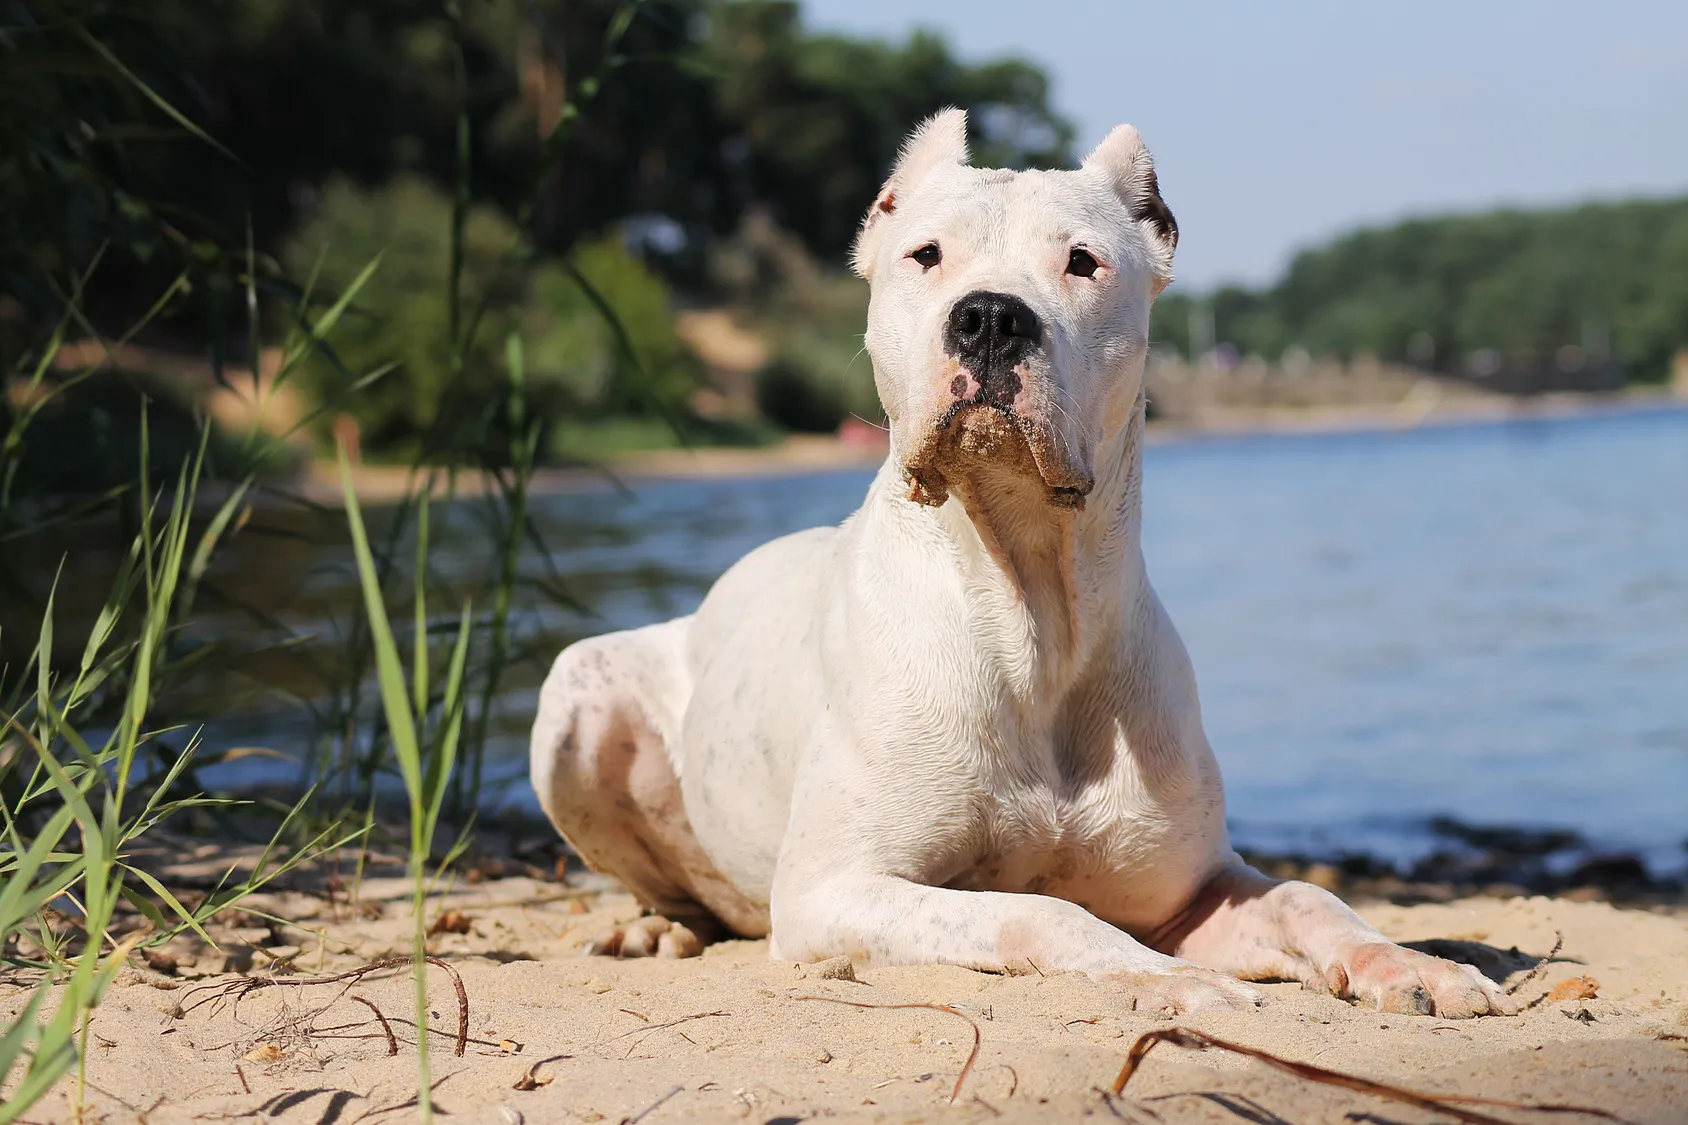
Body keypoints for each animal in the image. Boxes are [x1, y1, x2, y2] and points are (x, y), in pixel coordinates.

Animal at [530, 111, 1519, 1013]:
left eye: (1083, 261)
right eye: (925, 255)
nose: (991, 317)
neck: (1031, 609)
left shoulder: (1191, 887)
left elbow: (1309, 898)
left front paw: (1410, 964)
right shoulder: (831, 890)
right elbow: (1036, 910)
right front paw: (1167, 979)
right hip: (577, 695)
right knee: (671, 883)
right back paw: (655, 926)